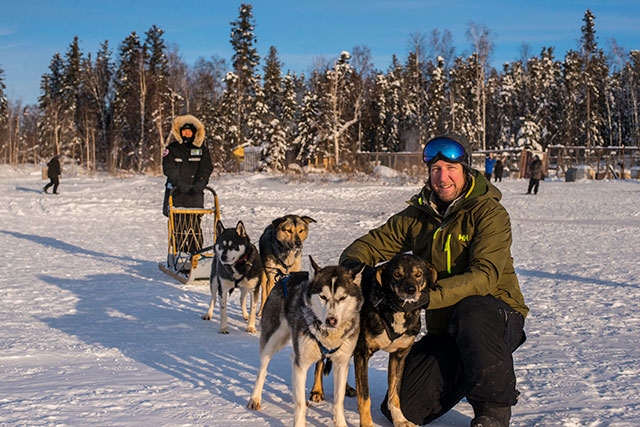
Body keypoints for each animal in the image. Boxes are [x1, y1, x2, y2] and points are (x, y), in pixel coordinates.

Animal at [247, 256, 364, 427]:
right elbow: (300, 404)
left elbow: (338, 401)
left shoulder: (341, 364)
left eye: (343, 298)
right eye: (323, 296)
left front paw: (341, 423)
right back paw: (255, 398)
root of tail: (285, 277)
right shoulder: (301, 362)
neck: (328, 336)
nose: (331, 320)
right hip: (272, 340)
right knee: (263, 369)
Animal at [309, 253, 438, 427]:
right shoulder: (362, 354)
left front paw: (400, 419)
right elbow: (365, 397)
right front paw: (367, 423)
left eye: (419, 274)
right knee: (320, 362)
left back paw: (346, 388)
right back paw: (317, 390)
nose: (411, 290)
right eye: (397, 274)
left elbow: (394, 394)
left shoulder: (399, 355)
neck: (393, 310)